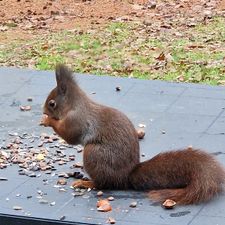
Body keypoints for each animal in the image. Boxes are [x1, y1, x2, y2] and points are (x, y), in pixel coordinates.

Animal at [40, 64, 225, 205]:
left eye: (52, 103)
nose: (43, 111)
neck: (74, 105)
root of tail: (126, 177)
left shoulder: (77, 120)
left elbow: (70, 136)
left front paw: (47, 121)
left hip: (94, 154)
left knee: (103, 184)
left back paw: (86, 182)